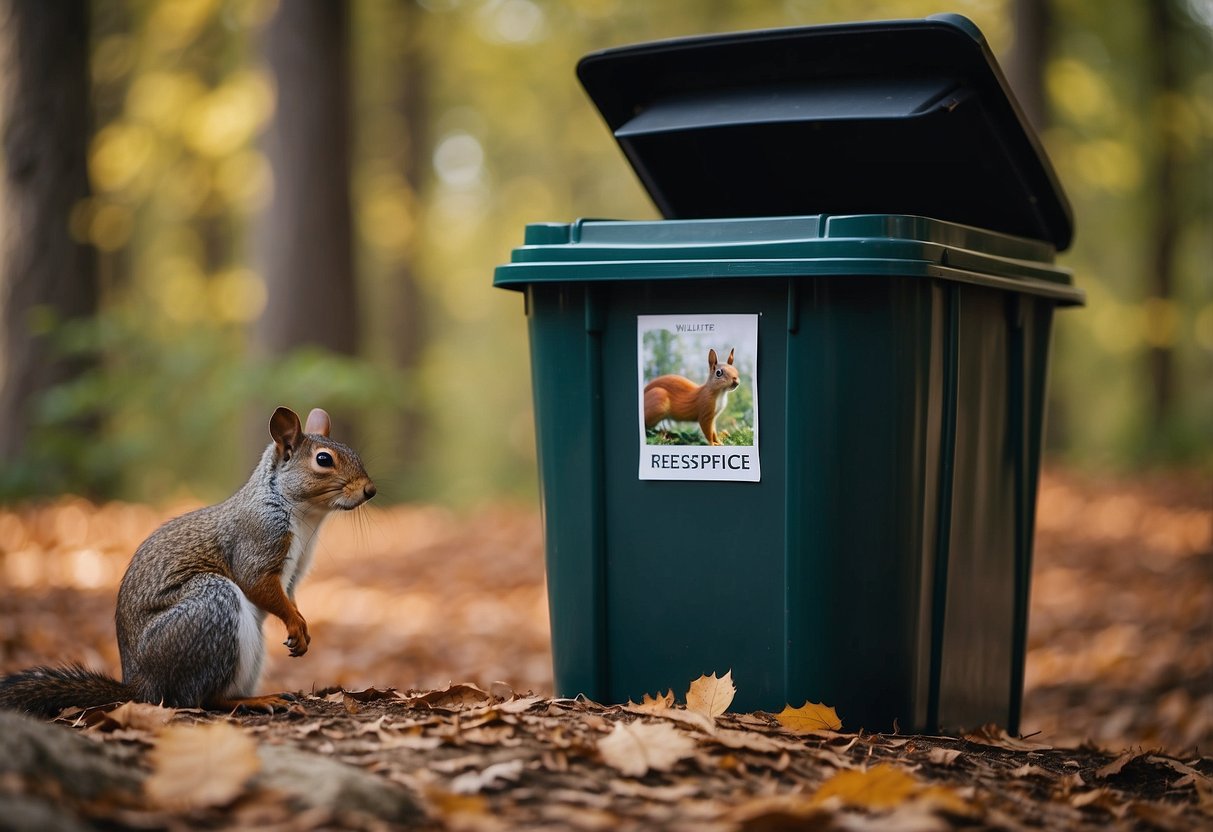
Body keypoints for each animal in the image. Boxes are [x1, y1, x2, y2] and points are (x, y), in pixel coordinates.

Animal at [0, 405, 373, 717]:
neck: (304, 516)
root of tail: (141, 686)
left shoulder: (294, 572)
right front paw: (295, 624)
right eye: (323, 459)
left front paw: (301, 623)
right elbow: (257, 584)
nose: (370, 490)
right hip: (209, 607)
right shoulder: (257, 539)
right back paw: (254, 700)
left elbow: (289, 597)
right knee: (199, 698)